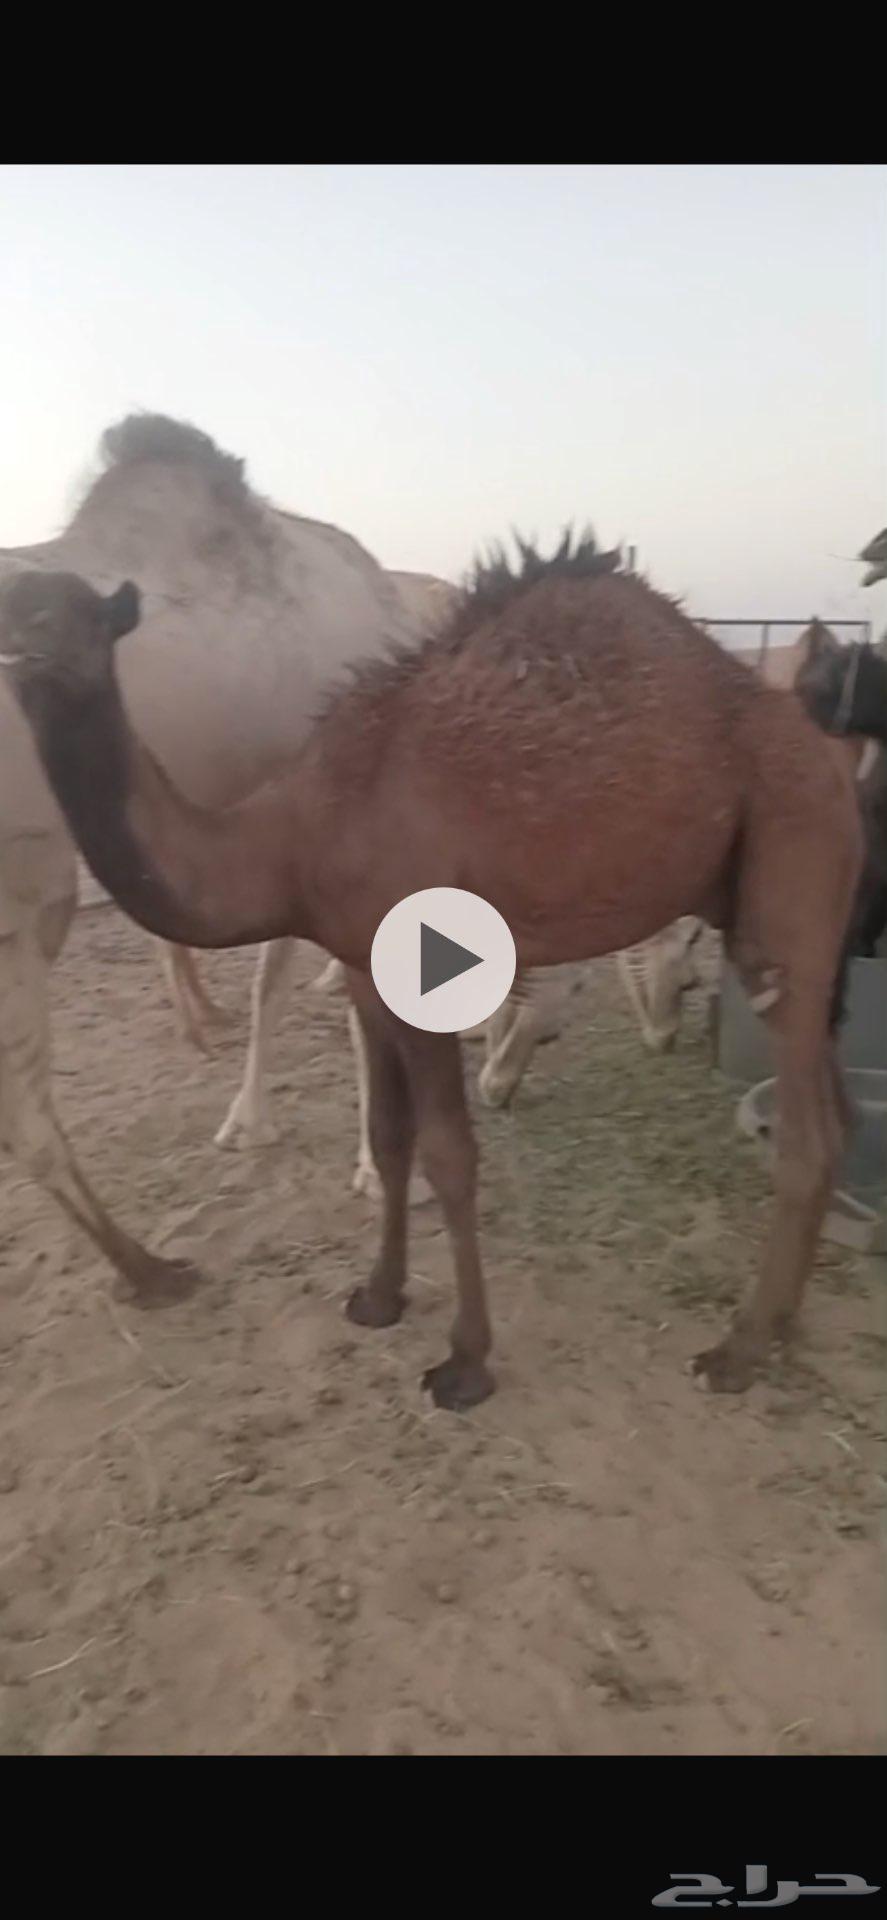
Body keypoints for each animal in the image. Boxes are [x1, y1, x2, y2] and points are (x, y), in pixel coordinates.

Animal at [0, 535, 862, 1411]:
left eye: (73, 618)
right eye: (9, 612)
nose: (24, 657)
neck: (291, 836)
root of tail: (825, 754)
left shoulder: (424, 967)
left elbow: (449, 1153)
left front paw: (464, 1362)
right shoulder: (360, 970)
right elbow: (389, 1138)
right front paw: (378, 1297)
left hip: (792, 845)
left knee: (804, 1127)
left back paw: (737, 1349)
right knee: (830, 1105)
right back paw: (780, 1325)